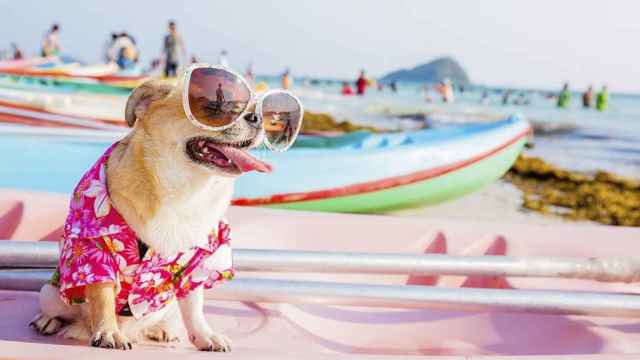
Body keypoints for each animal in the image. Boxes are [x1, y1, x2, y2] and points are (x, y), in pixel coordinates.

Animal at [28, 76, 274, 352]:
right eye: (214, 107)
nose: (258, 117)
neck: (184, 192)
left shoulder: (197, 265)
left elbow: (194, 307)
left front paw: (205, 336)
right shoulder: (94, 250)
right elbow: (102, 296)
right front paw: (108, 332)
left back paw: (163, 330)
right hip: (51, 294)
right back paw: (48, 320)